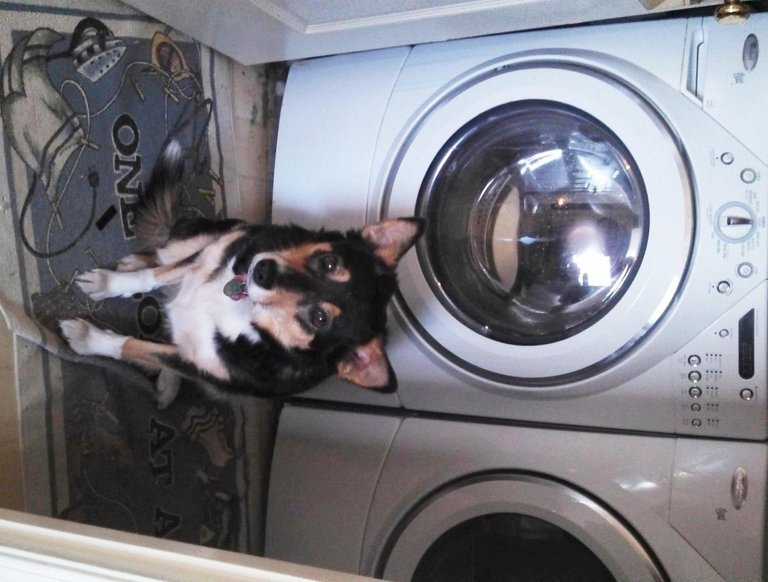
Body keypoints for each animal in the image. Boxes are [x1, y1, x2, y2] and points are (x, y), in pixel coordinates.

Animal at [60, 141, 424, 406]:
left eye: (318, 318)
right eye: (329, 263)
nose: (261, 270)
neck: (241, 306)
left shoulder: (201, 364)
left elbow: (136, 347)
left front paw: (88, 339)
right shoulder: (211, 256)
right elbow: (154, 277)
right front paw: (108, 283)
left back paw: (166, 383)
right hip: (221, 233)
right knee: (162, 253)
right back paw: (133, 265)